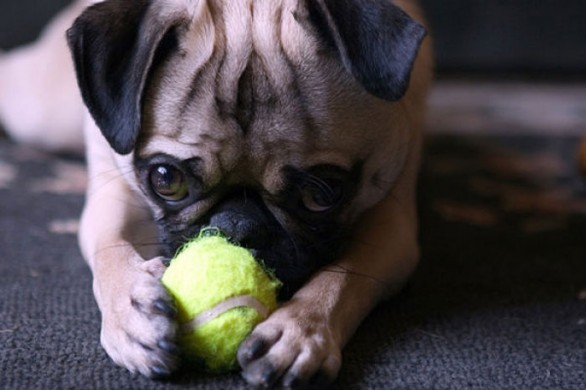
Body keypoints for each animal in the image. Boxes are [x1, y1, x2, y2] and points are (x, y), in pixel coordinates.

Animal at [0, 0, 428, 386]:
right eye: (166, 180)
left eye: (320, 195)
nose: (237, 226)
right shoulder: (113, 190)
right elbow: (110, 247)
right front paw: (132, 313)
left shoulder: (393, 229)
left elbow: (345, 274)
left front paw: (302, 329)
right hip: (44, 114)